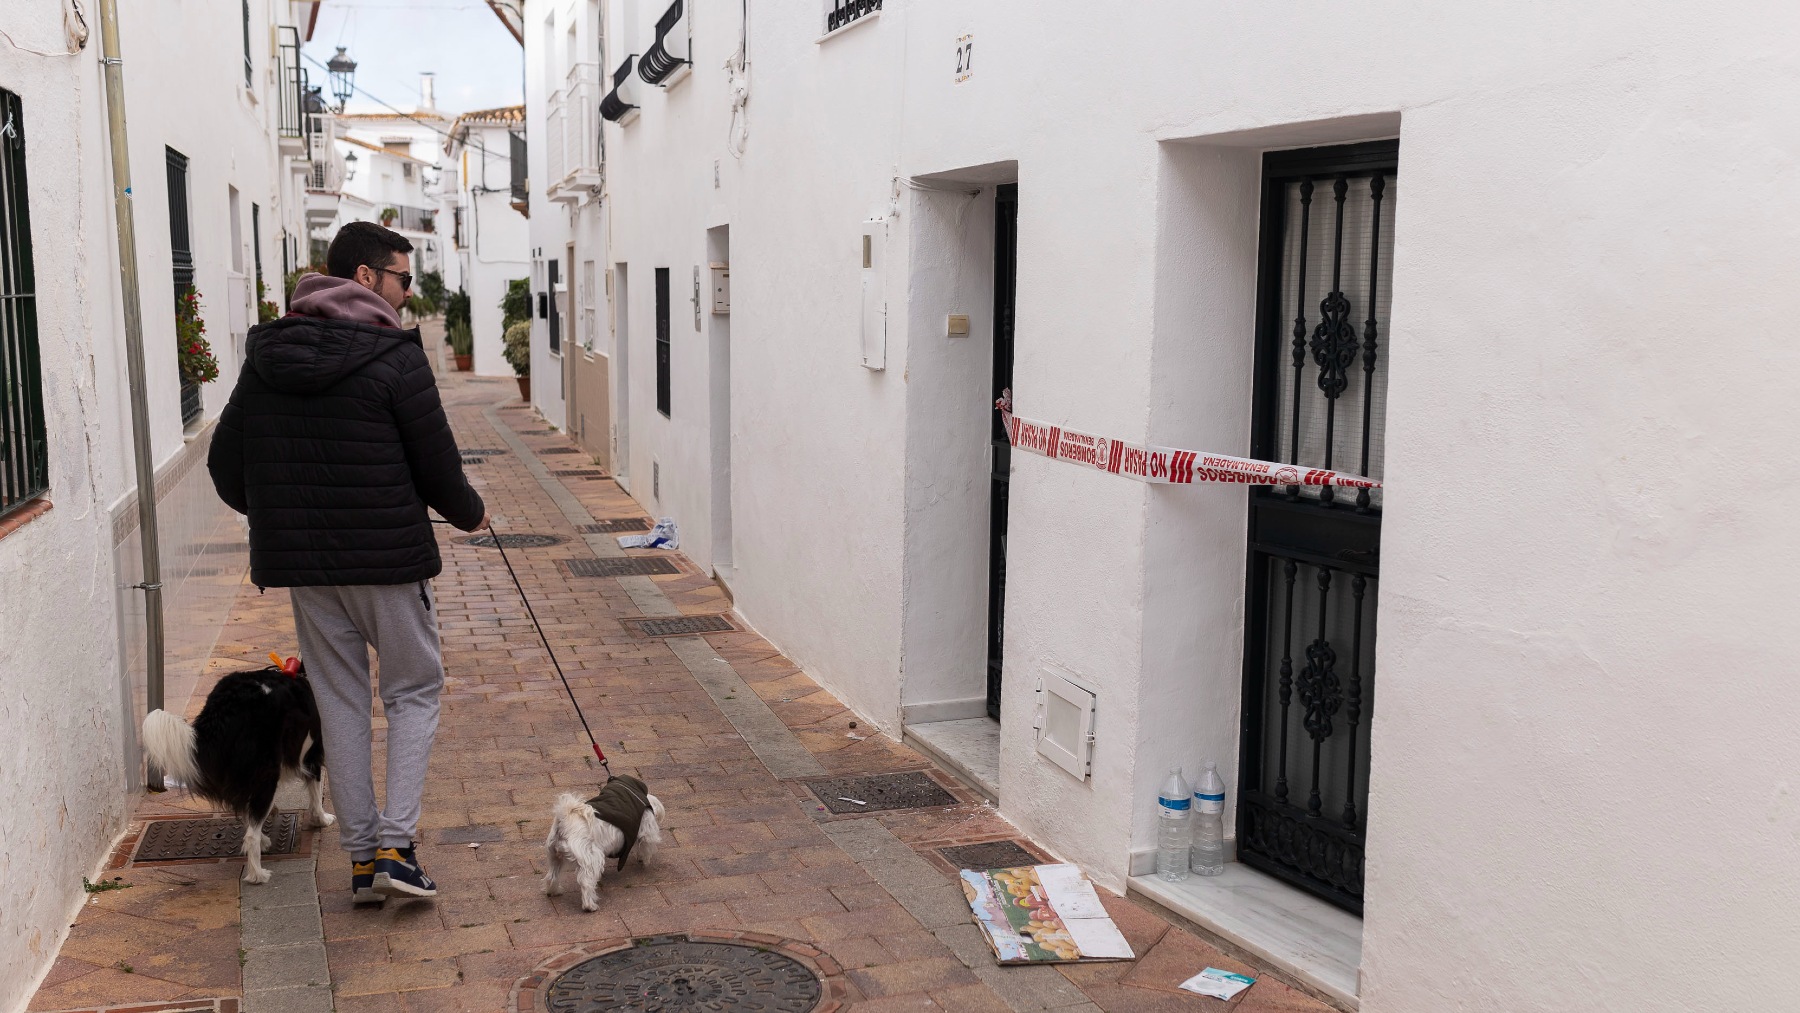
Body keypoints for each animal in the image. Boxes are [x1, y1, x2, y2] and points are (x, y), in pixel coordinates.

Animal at [140, 662, 334, 885]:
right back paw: (258, 874)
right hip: (267, 772)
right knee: (252, 831)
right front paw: (322, 819)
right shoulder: (313, 754)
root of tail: (222, 709)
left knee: (246, 813)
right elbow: (316, 794)